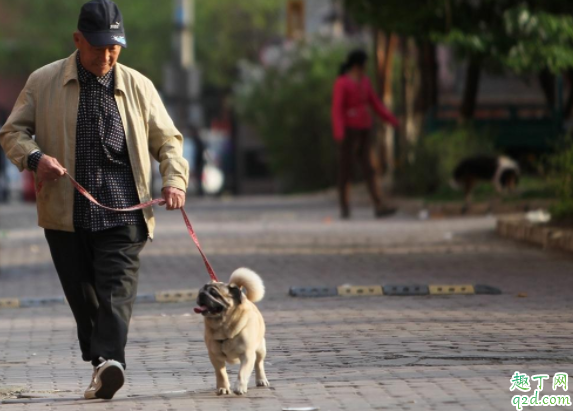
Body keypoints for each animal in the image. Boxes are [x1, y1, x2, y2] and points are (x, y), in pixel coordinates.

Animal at [194, 268, 268, 396]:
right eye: (201, 290)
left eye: (214, 293)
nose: (201, 294)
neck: (223, 326)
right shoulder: (215, 356)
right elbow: (221, 373)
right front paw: (223, 388)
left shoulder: (247, 355)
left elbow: (242, 372)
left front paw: (239, 387)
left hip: (260, 348)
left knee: (259, 363)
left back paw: (261, 379)